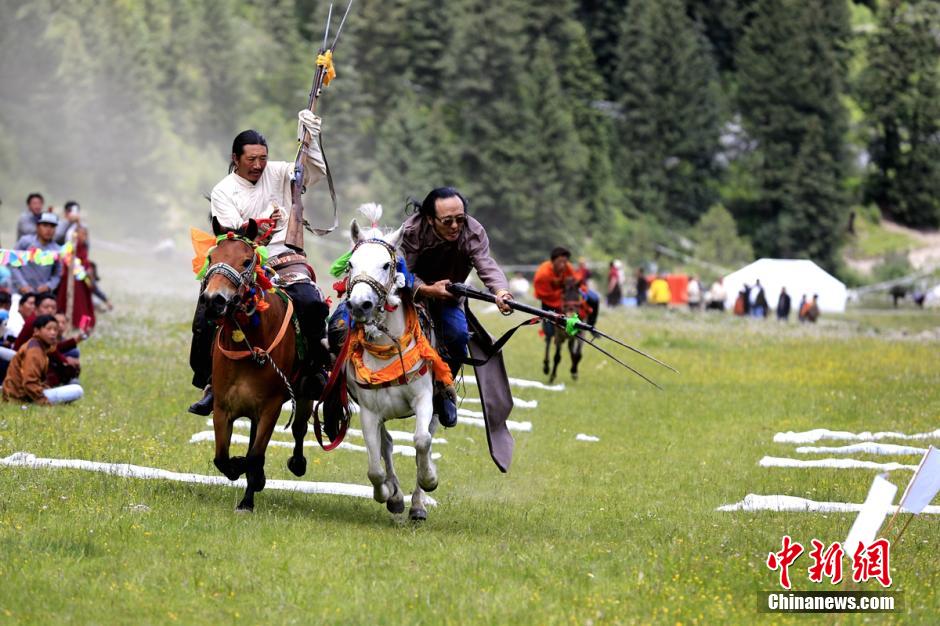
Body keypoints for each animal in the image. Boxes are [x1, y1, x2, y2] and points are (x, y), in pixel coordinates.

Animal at [200, 217, 314, 510]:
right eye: (211, 257)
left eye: (246, 260)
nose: (214, 300)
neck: (249, 341)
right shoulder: (222, 407)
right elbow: (221, 457)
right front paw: (240, 470)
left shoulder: (269, 409)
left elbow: (254, 456)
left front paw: (247, 501)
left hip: (305, 395)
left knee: (299, 428)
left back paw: (297, 463)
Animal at [344, 204, 446, 516]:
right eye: (350, 264)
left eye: (386, 265)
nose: (360, 304)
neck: (385, 347)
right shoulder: (369, 412)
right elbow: (375, 467)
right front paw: (387, 494)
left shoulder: (425, 399)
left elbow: (422, 441)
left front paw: (429, 480)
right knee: (387, 446)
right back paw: (397, 497)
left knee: (424, 440)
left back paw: (418, 505)